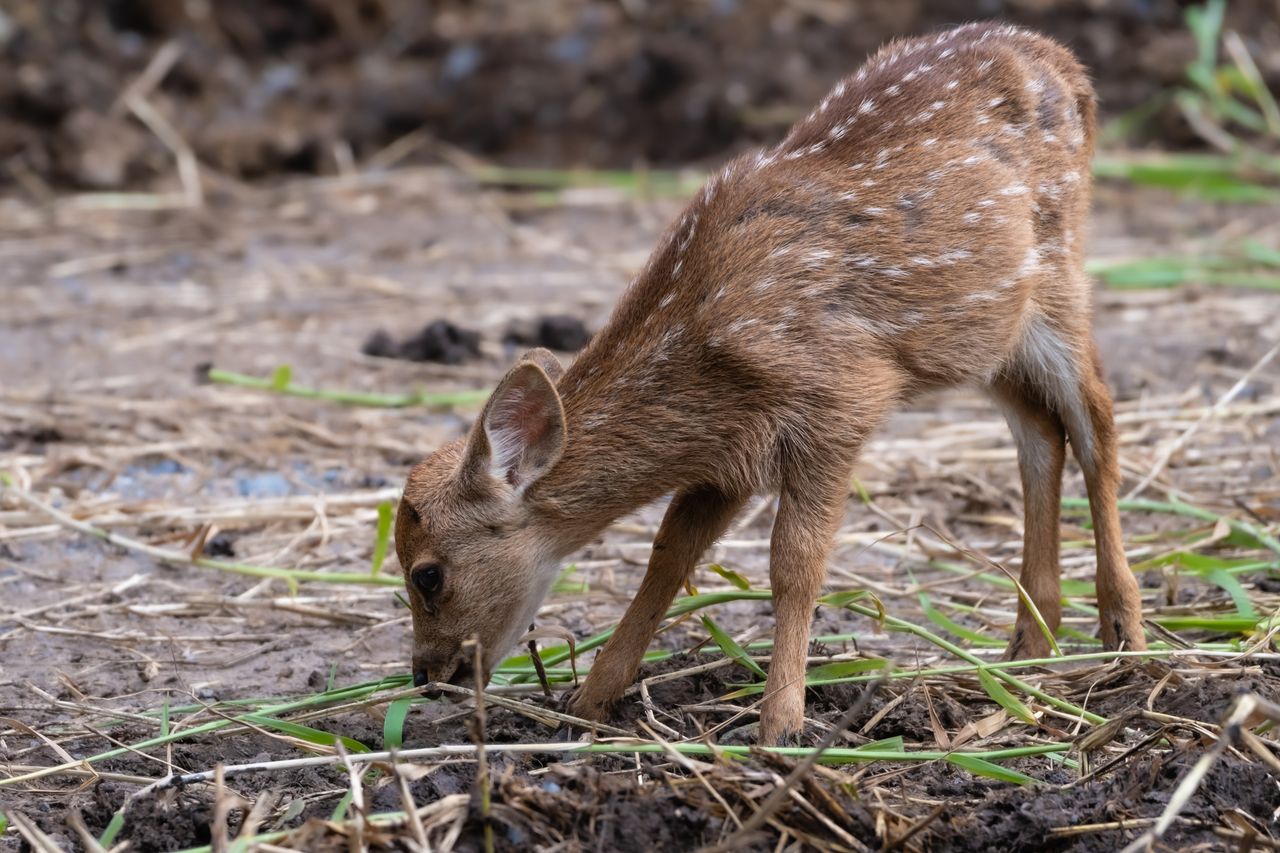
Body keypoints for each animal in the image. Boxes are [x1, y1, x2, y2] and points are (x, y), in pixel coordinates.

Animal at [394, 22, 1147, 744]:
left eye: (427, 573)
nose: (429, 675)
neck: (705, 344)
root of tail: (1066, 64)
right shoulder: (728, 452)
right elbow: (668, 555)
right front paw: (591, 699)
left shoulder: (841, 397)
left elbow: (795, 561)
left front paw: (782, 722)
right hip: (985, 331)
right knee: (1041, 431)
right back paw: (1030, 644)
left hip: (1058, 277)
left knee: (1098, 424)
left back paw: (1124, 635)